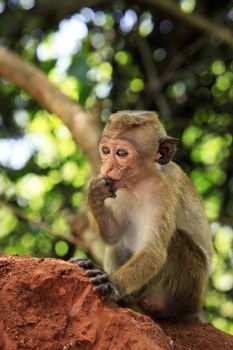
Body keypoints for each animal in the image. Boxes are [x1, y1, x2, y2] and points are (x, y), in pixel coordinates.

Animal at [70, 110, 213, 322]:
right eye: (106, 150)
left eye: (121, 153)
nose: (107, 168)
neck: (138, 183)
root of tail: (196, 309)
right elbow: (113, 236)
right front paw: (95, 194)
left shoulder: (163, 191)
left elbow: (154, 251)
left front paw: (112, 284)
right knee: (117, 243)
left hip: (189, 289)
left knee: (176, 241)